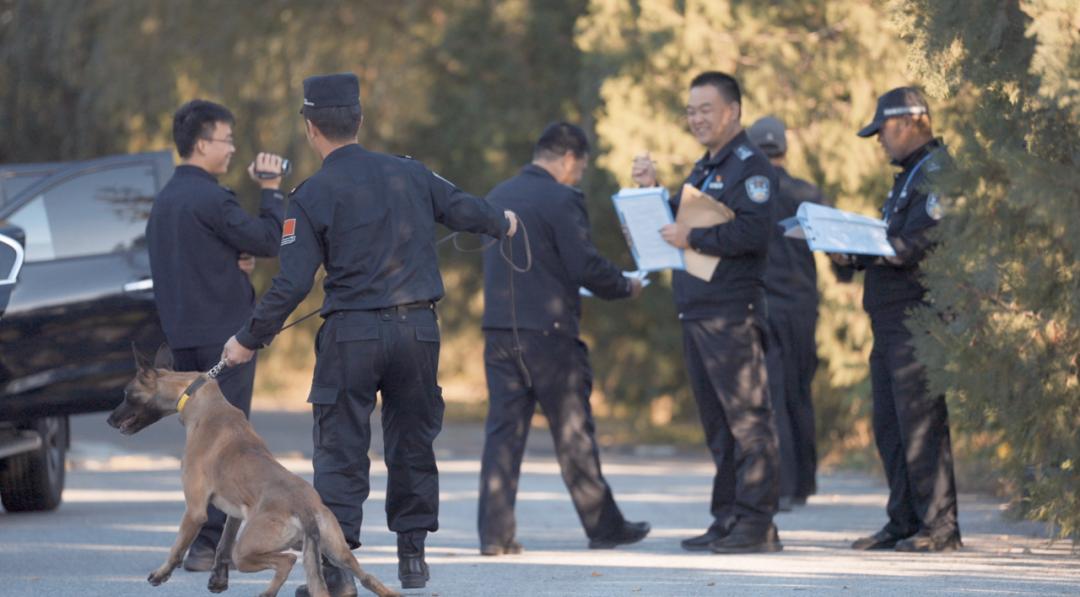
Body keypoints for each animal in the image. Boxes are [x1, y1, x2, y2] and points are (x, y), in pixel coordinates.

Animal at [107, 345, 401, 595]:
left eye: (126, 394)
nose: (110, 420)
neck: (197, 397)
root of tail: (305, 508)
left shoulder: (195, 510)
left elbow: (177, 548)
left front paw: (161, 574)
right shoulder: (234, 513)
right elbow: (222, 546)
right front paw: (218, 580)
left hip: (250, 550)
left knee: (286, 561)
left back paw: (267, 593)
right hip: (337, 551)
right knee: (366, 577)